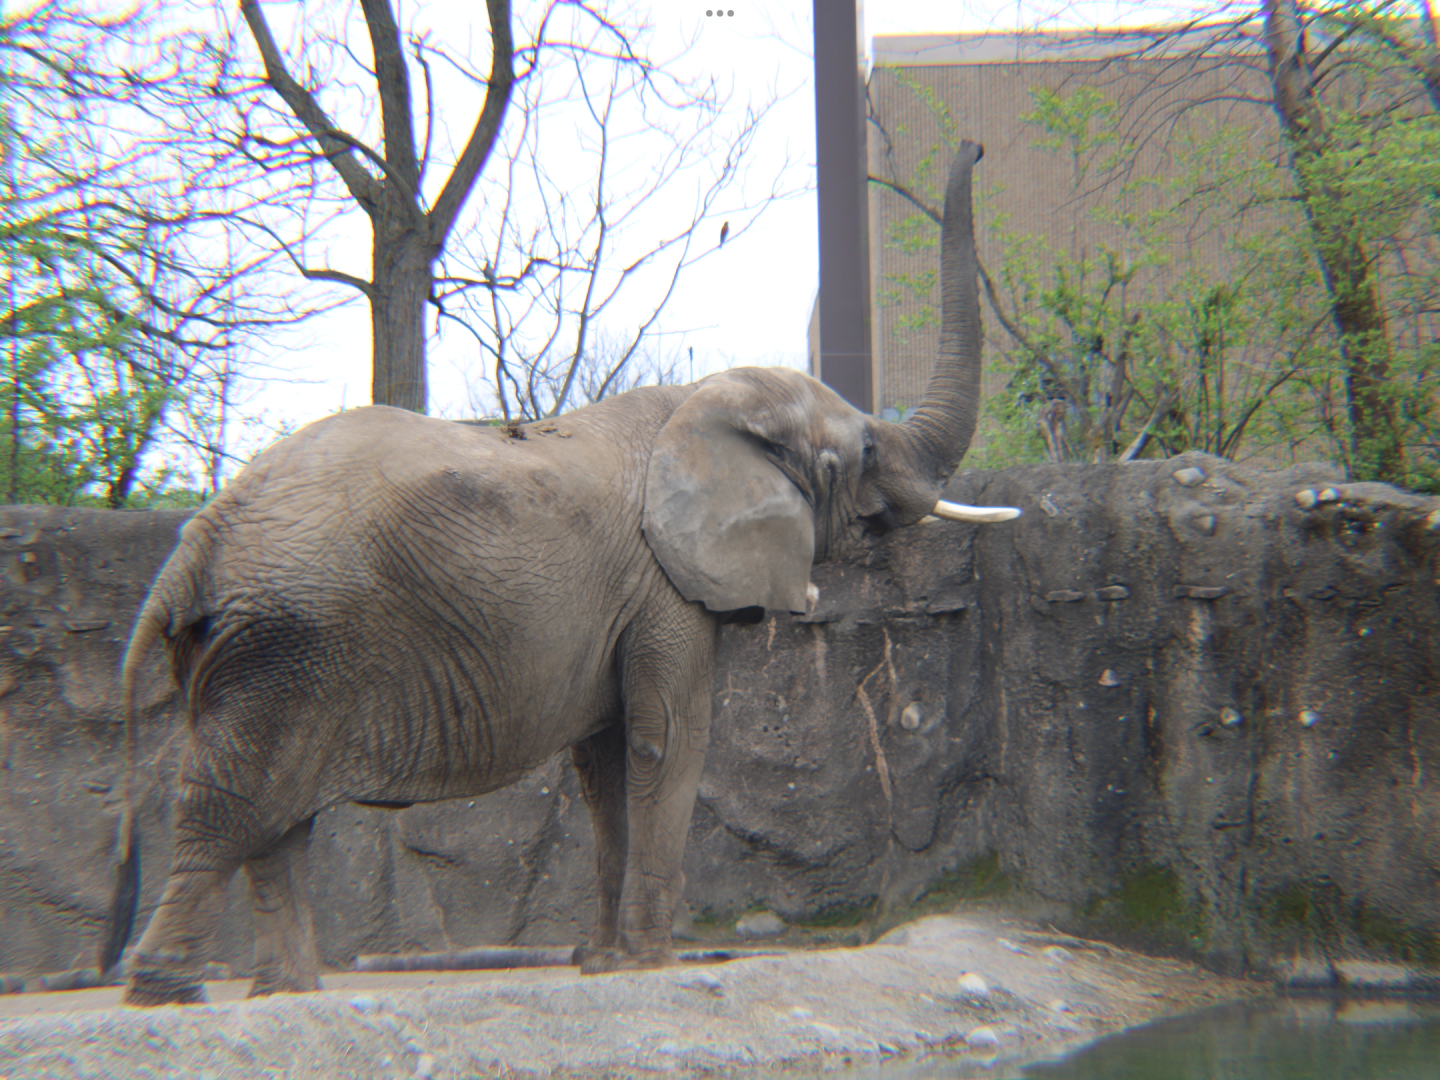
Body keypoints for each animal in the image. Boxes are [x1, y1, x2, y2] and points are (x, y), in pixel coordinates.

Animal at [104, 140, 1013, 1005]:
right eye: (864, 452)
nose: (973, 149)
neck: (700, 401)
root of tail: (198, 538)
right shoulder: (662, 585)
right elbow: (668, 740)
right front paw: (650, 964)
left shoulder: (624, 605)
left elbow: (605, 767)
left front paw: (601, 965)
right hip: (285, 639)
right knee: (232, 802)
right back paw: (168, 991)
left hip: (266, 649)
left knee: (276, 817)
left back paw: (288, 989)